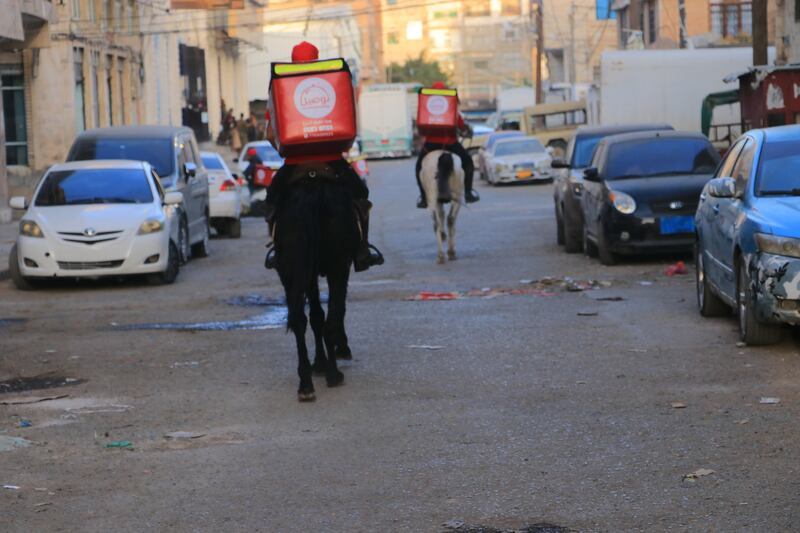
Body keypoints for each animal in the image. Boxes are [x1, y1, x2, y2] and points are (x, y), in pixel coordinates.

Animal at [278, 165, 360, 400]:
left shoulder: (309, 273)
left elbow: (316, 316)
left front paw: (319, 363)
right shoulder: (341, 267)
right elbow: (335, 310)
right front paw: (339, 350)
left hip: (290, 270)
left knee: (298, 320)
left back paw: (305, 383)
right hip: (337, 265)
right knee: (331, 318)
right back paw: (334, 374)